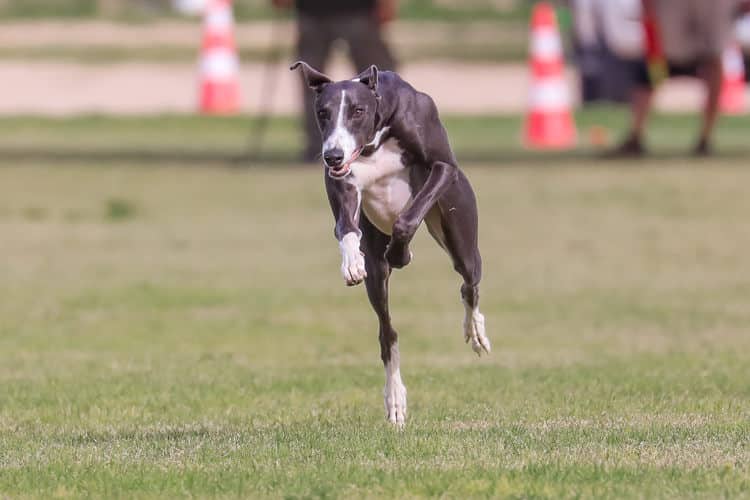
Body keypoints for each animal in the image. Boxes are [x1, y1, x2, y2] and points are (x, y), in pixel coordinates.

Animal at [290, 59, 490, 426]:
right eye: (323, 112)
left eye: (357, 111)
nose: (332, 155)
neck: (375, 138)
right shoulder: (342, 183)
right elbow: (345, 227)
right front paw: (351, 262)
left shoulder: (442, 167)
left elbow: (406, 219)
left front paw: (401, 252)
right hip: (378, 276)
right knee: (388, 332)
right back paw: (395, 399)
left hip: (461, 232)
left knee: (468, 282)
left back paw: (476, 330)